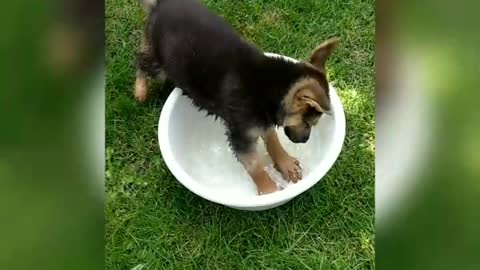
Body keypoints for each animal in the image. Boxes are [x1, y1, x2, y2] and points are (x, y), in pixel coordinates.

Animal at [135, 0, 338, 194]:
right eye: (308, 123)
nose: (304, 141)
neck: (269, 85)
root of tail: (160, 5)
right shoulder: (241, 133)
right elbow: (255, 165)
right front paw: (268, 191)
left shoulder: (262, 118)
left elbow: (272, 138)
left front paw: (284, 161)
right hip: (161, 63)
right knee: (141, 60)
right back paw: (140, 91)